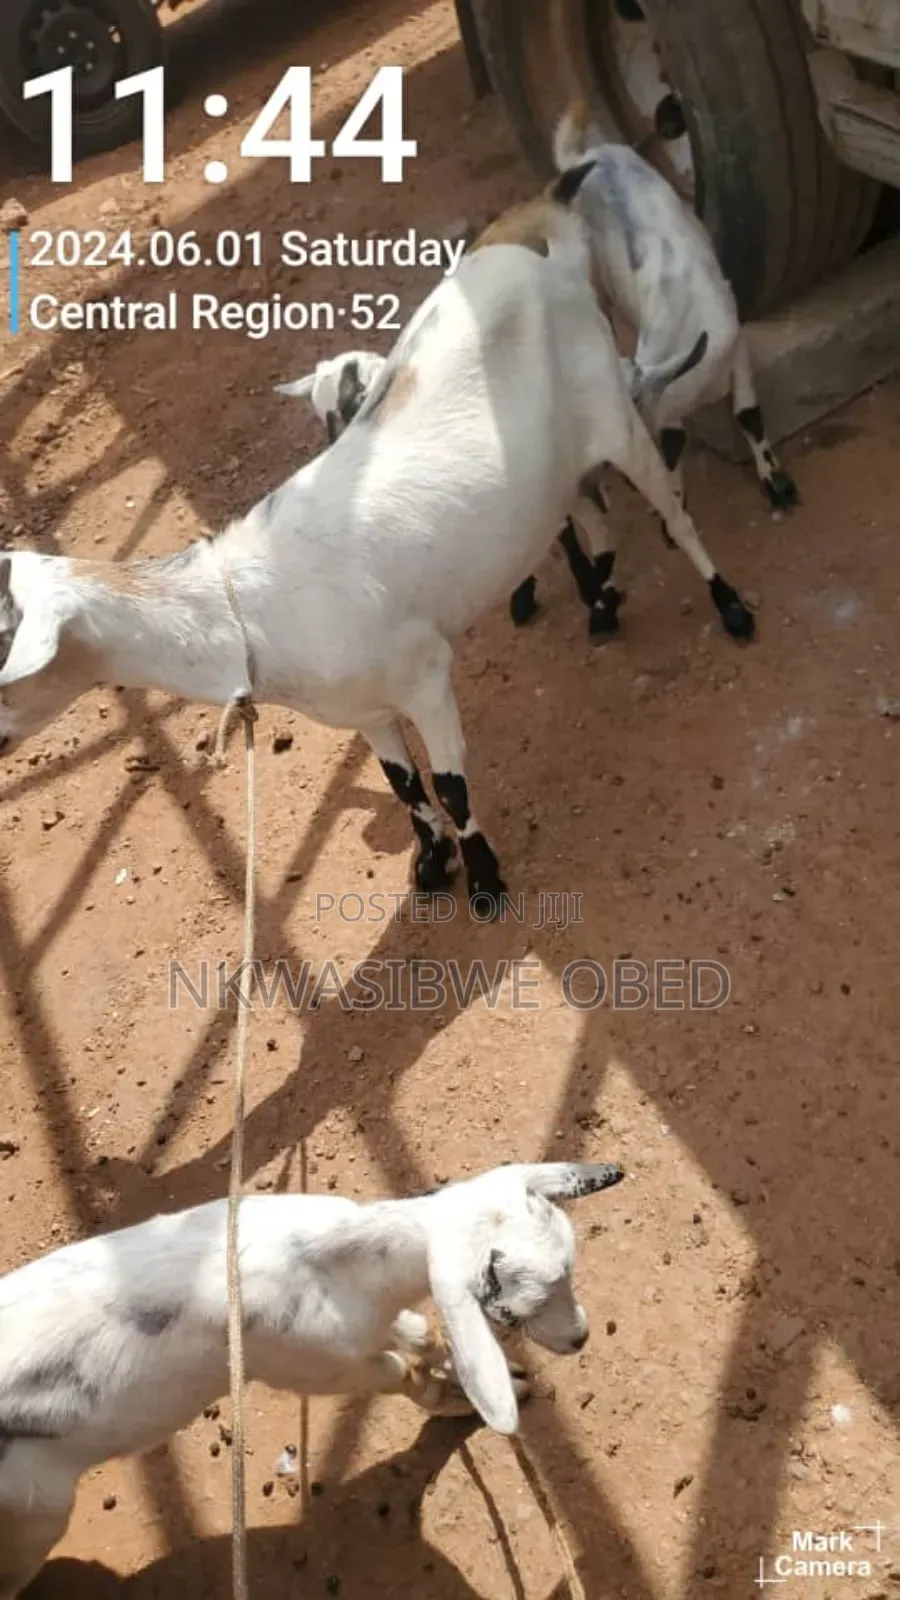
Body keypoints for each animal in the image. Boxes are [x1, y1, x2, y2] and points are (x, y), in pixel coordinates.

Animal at [0, 172, 755, 911]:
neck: (248, 602)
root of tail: (551, 260)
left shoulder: (424, 674)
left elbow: (450, 785)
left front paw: (485, 882)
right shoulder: (363, 710)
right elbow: (404, 786)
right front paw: (431, 864)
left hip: (615, 418)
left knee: (675, 515)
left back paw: (731, 607)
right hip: (557, 473)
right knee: (589, 518)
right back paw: (603, 607)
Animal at [0, 1159, 623, 1596]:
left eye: (571, 1268)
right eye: (511, 1311)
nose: (580, 1338)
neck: (332, 1262)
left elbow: (417, 1332)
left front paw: (453, 1362)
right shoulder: (327, 1366)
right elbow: (403, 1374)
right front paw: (460, 1399)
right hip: (36, 1512)